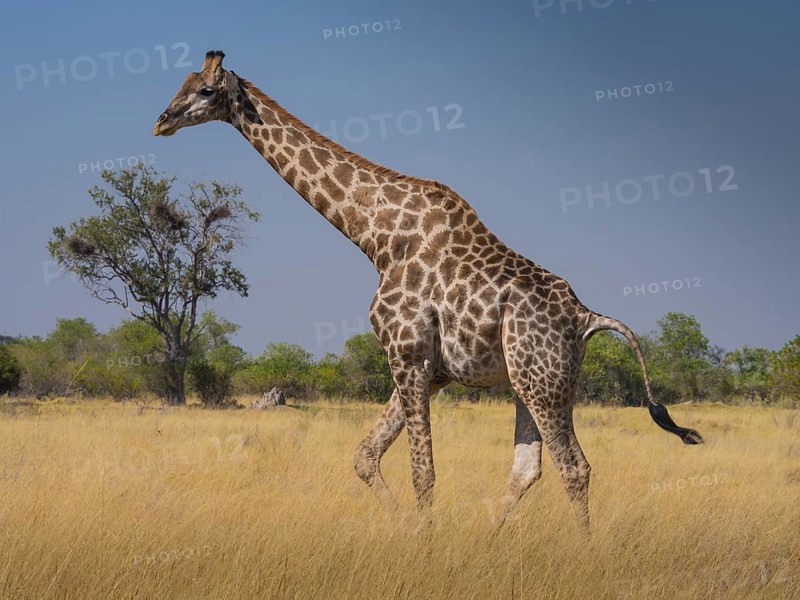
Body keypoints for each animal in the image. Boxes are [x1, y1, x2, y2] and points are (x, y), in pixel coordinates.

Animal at [154, 50, 703, 530]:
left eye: (205, 90)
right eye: (180, 84)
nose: (161, 121)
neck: (375, 237)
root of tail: (587, 318)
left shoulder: (408, 354)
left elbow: (423, 473)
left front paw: (425, 544)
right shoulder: (428, 368)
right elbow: (364, 456)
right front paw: (415, 534)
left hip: (543, 383)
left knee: (574, 467)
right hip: (532, 383)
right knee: (528, 468)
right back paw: (485, 543)